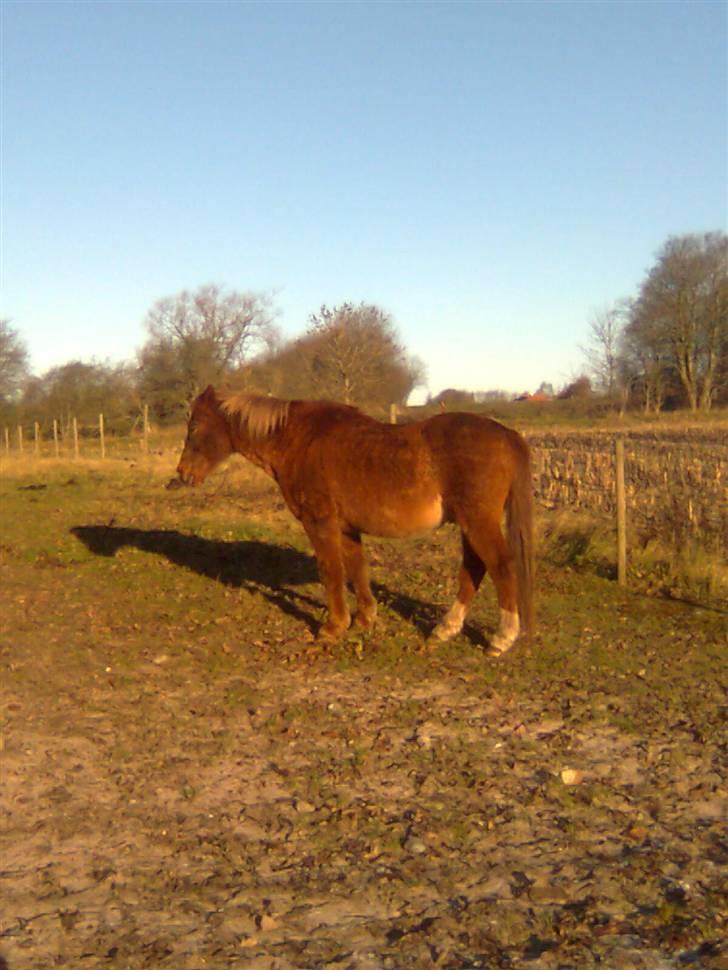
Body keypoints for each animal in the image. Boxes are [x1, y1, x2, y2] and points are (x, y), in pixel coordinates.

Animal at [171, 384, 536, 652]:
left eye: (195, 425)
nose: (183, 474)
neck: (298, 439)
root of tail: (506, 434)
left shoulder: (319, 522)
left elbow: (331, 570)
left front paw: (334, 627)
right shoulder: (347, 528)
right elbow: (357, 569)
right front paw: (365, 619)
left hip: (478, 522)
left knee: (500, 566)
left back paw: (502, 638)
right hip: (469, 524)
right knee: (474, 568)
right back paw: (445, 629)